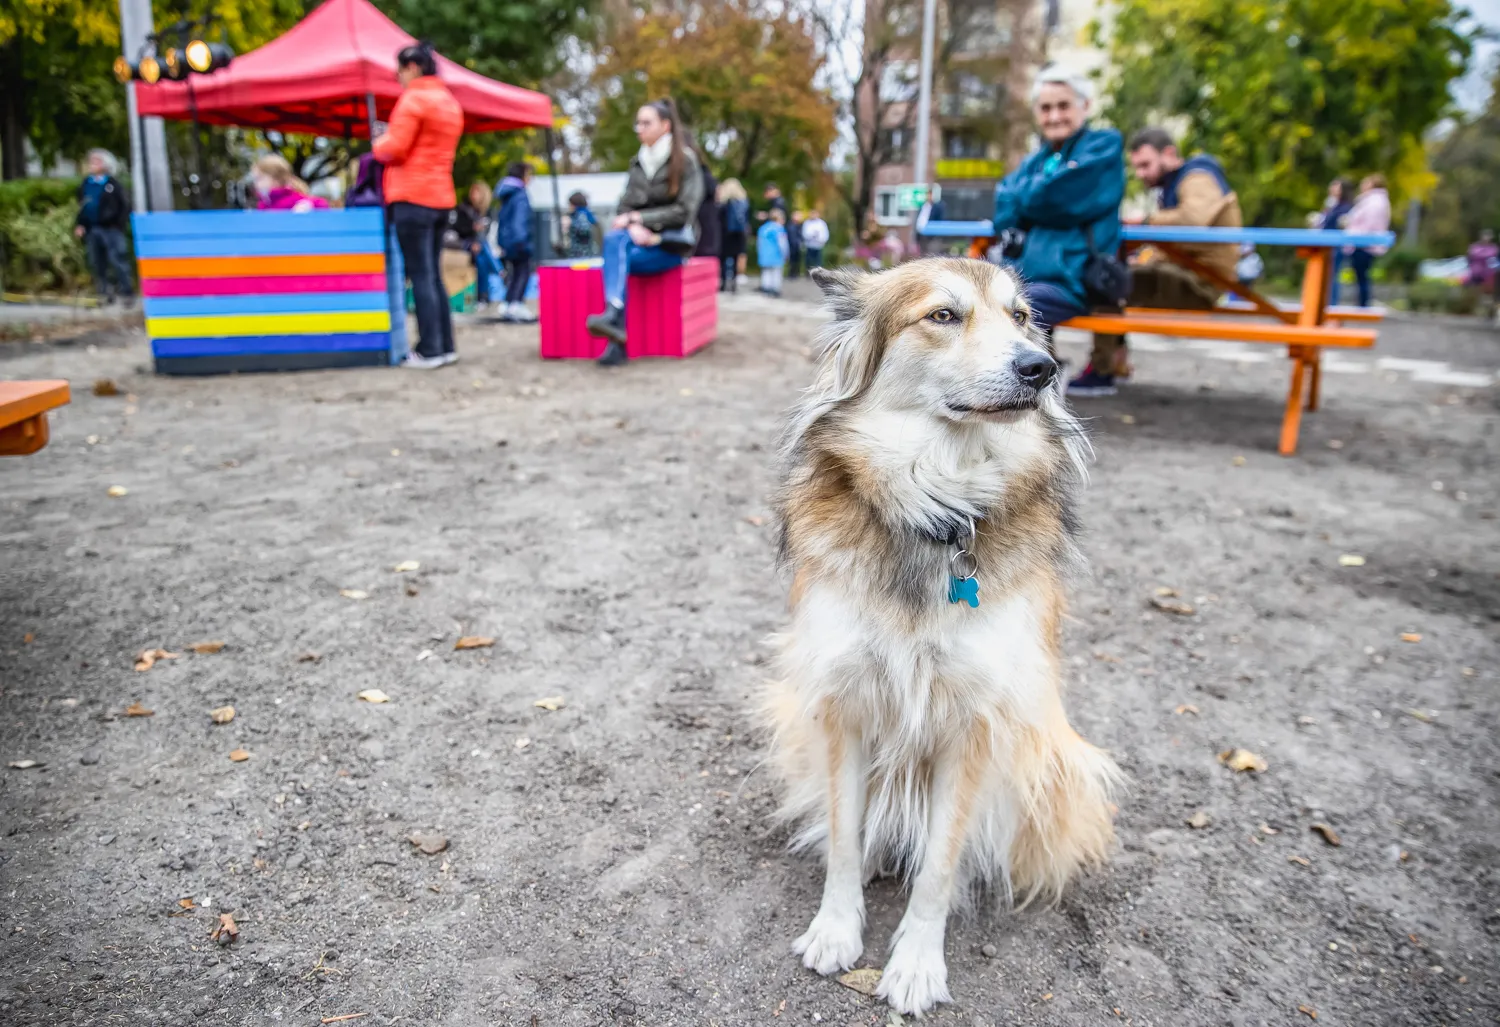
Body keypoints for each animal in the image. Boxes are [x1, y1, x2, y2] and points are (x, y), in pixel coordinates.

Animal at [768, 260, 1122, 1013]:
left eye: (1022, 316)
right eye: (942, 316)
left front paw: (915, 965)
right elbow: (843, 837)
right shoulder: (843, 704)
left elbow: (938, 864)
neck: (940, 510)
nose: (1042, 368)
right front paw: (836, 930)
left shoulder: (974, 722)